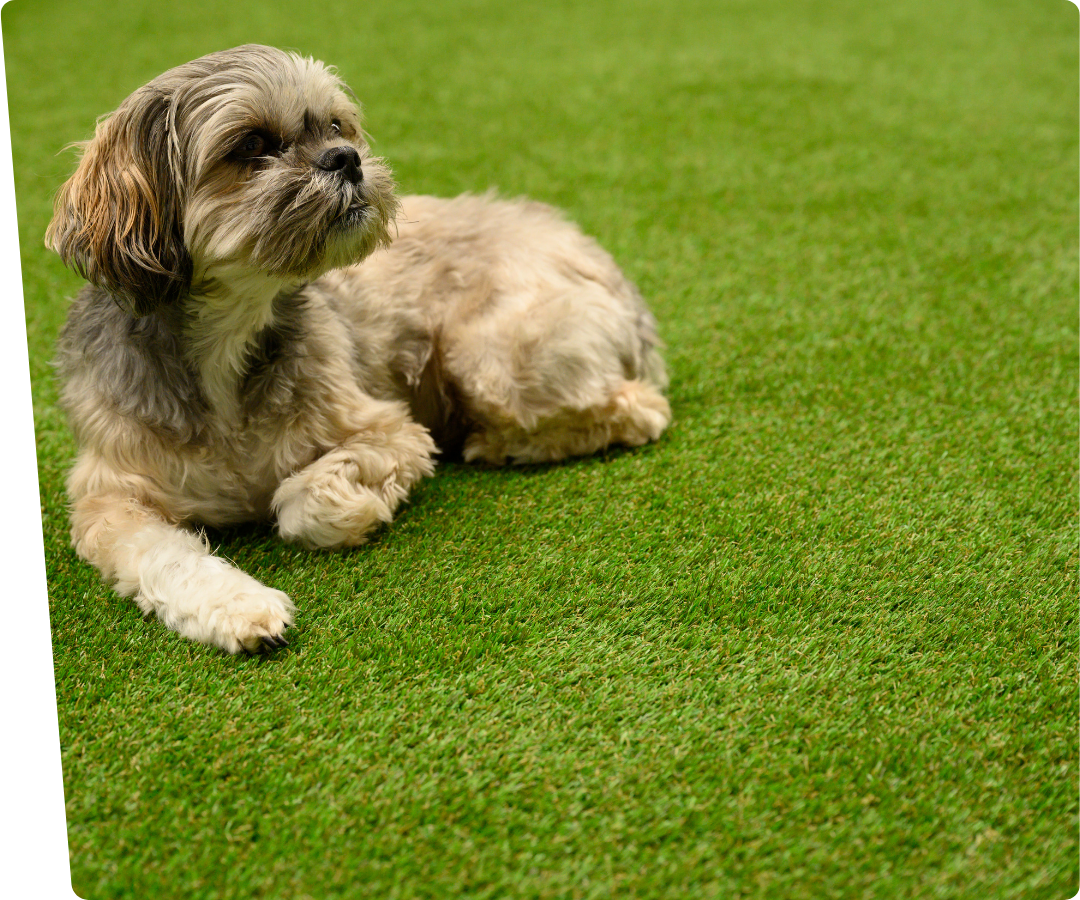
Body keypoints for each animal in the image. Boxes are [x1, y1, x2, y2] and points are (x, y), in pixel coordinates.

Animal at [46, 45, 669, 648]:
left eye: (336, 126)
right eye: (250, 145)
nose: (346, 157)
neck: (229, 341)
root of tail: (590, 250)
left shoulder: (391, 432)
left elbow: (302, 505)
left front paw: (358, 511)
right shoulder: (110, 499)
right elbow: (164, 557)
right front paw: (237, 608)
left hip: (489, 357)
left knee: (642, 409)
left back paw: (502, 443)